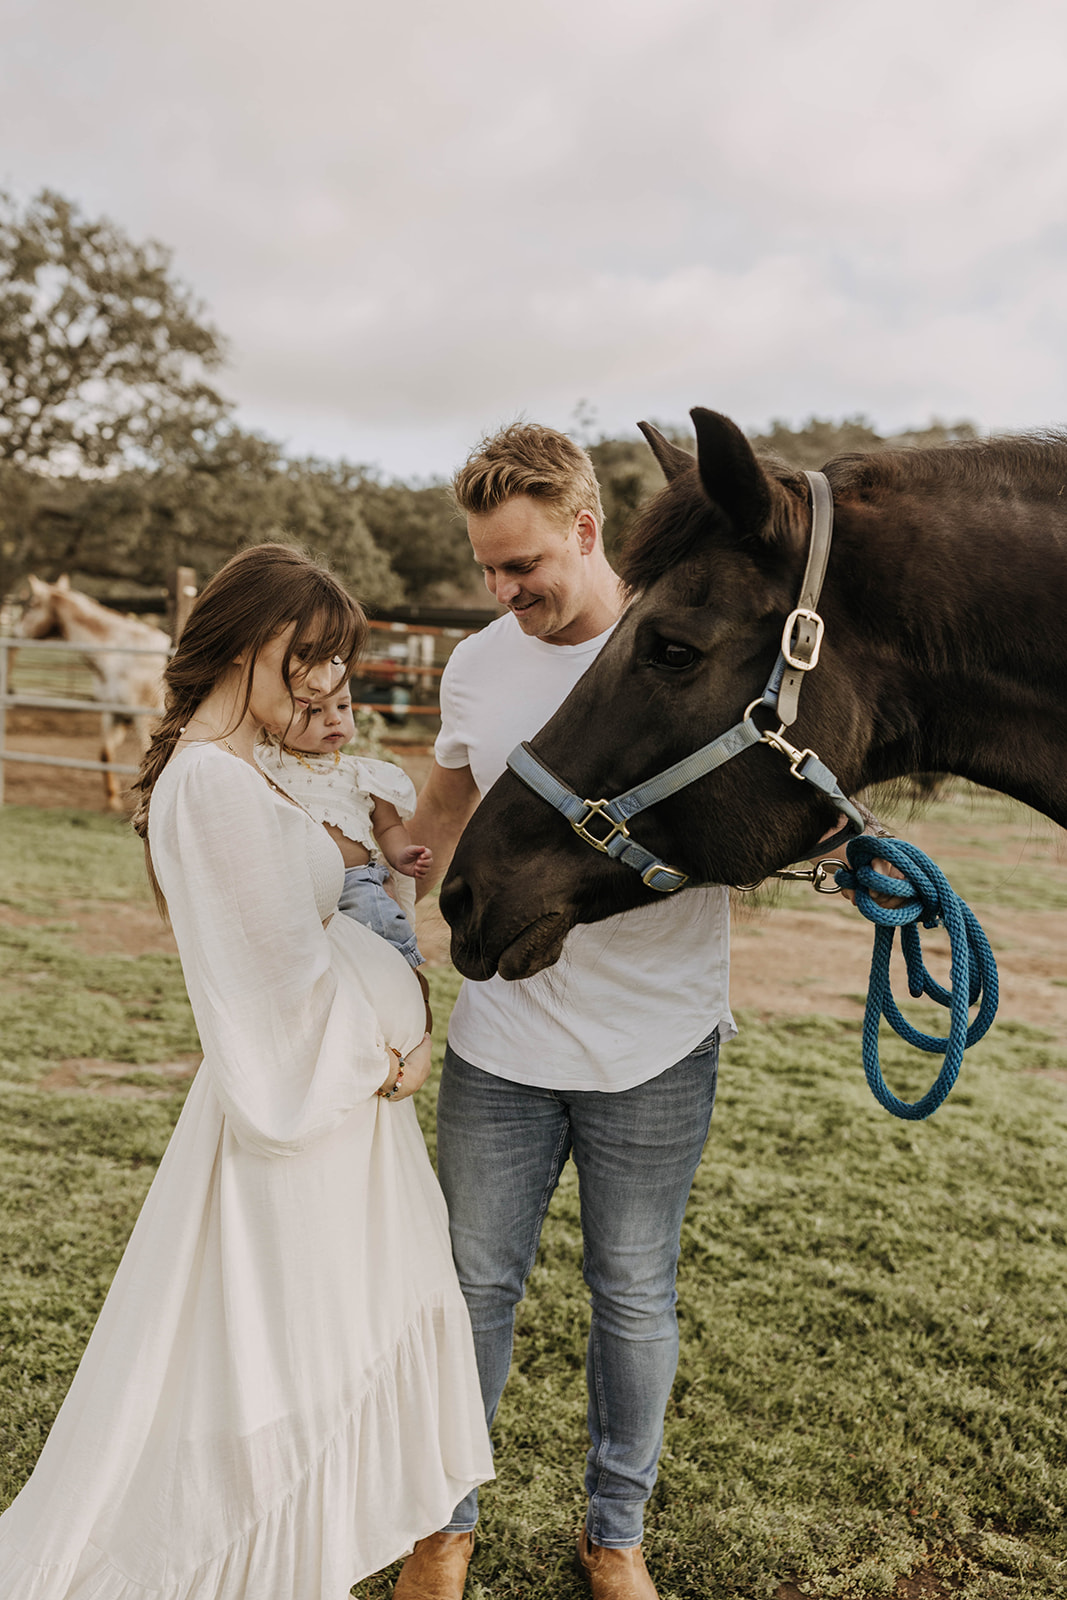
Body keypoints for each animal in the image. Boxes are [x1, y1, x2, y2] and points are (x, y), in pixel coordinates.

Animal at [16, 576, 171, 812]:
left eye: (32, 605)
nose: (16, 632)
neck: (123, 656)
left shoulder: (145, 719)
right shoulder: (114, 714)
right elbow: (105, 754)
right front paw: (112, 801)